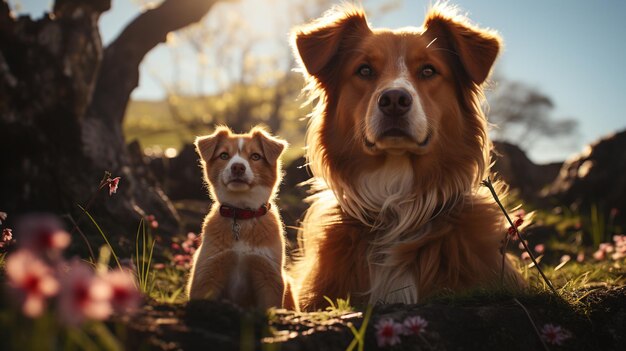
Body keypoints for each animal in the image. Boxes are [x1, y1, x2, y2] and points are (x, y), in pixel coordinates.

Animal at [185, 125, 290, 310]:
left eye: (255, 156)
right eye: (224, 155)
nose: (238, 167)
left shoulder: (269, 276)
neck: (241, 214)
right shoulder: (207, 273)